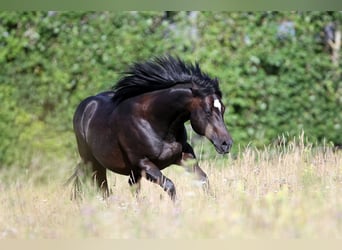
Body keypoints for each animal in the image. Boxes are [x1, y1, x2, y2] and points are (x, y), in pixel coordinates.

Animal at [71, 55, 234, 200]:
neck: (154, 123)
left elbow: (203, 179)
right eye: (207, 112)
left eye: (223, 109)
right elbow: (170, 185)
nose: (226, 144)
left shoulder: (183, 157)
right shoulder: (144, 165)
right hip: (93, 163)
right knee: (103, 188)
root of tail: (85, 106)